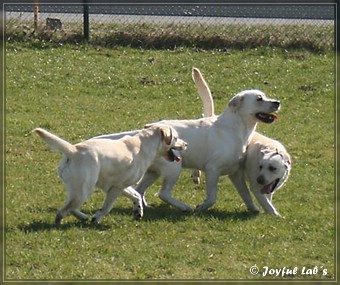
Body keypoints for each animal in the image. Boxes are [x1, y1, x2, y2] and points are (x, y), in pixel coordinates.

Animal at [33, 124, 187, 224]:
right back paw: (59, 224)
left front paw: (139, 212)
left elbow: (136, 195)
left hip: (78, 189)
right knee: (62, 210)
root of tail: (74, 150)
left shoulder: (119, 185)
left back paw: (82, 217)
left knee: (69, 207)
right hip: (83, 190)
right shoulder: (116, 188)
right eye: (176, 137)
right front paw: (97, 218)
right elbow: (107, 207)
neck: (144, 144)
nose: (186, 144)